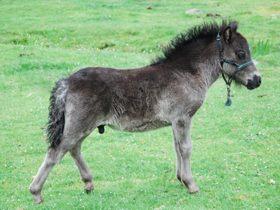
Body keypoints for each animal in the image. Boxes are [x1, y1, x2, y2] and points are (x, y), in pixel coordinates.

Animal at [29, 20, 262, 203]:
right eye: (241, 53)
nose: (257, 80)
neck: (185, 73)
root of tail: (67, 81)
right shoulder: (182, 118)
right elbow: (186, 148)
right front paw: (191, 184)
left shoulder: (175, 121)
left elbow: (177, 148)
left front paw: (181, 179)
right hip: (79, 124)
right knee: (56, 151)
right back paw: (36, 192)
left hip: (83, 126)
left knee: (73, 148)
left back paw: (88, 183)